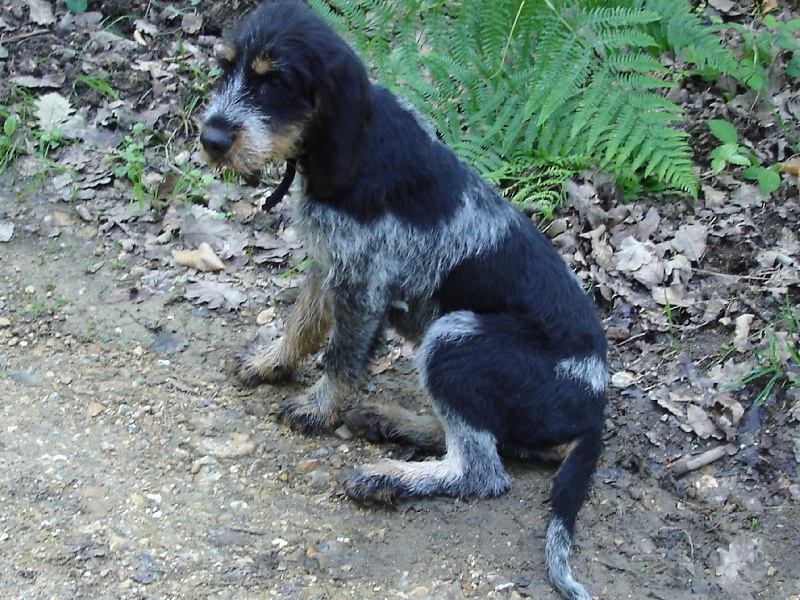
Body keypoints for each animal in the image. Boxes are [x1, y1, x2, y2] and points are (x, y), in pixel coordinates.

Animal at [198, 2, 608, 596]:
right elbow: (302, 324)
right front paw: (271, 362)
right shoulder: (329, 262)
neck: (352, 150)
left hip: (454, 339)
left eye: (273, 81)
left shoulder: (361, 281)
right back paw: (395, 424)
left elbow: (341, 359)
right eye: (225, 67)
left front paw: (319, 407)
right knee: (483, 439)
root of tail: (595, 408)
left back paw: (385, 476)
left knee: (480, 470)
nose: (210, 137)